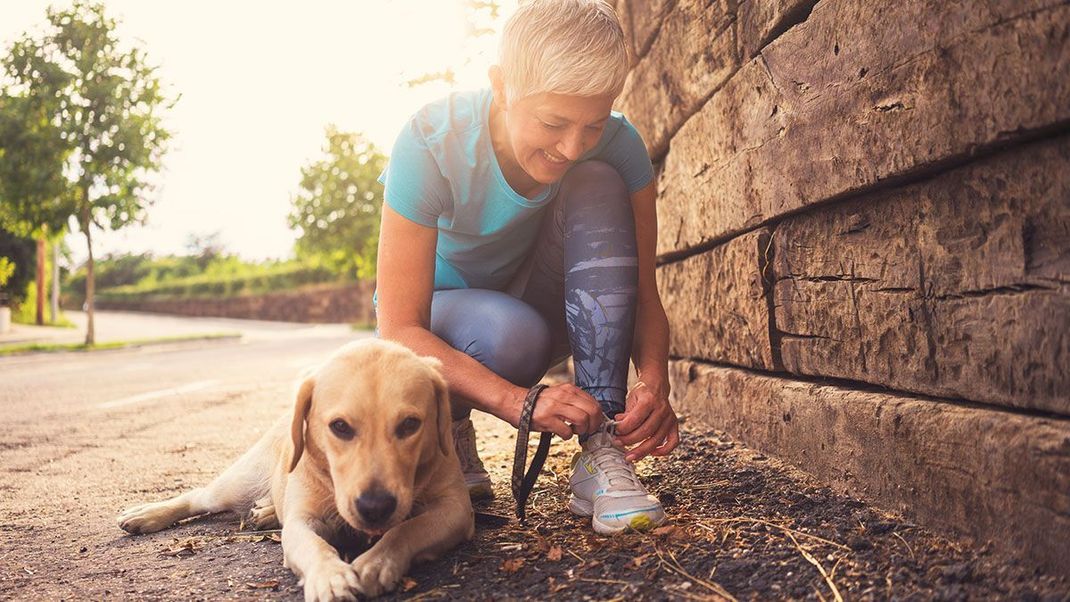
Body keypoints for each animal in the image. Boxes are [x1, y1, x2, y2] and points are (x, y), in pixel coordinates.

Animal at [113, 342, 477, 598]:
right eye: (340, 427)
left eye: (410, 425)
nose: (375, 507)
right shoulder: (301, 522)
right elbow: (314, 545)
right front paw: (329, 576)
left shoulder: (456, 510)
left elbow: (406, 529)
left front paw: (378, 560)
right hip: (235, 484)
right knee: (198, 496)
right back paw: (147, 514)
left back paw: (265, 511)